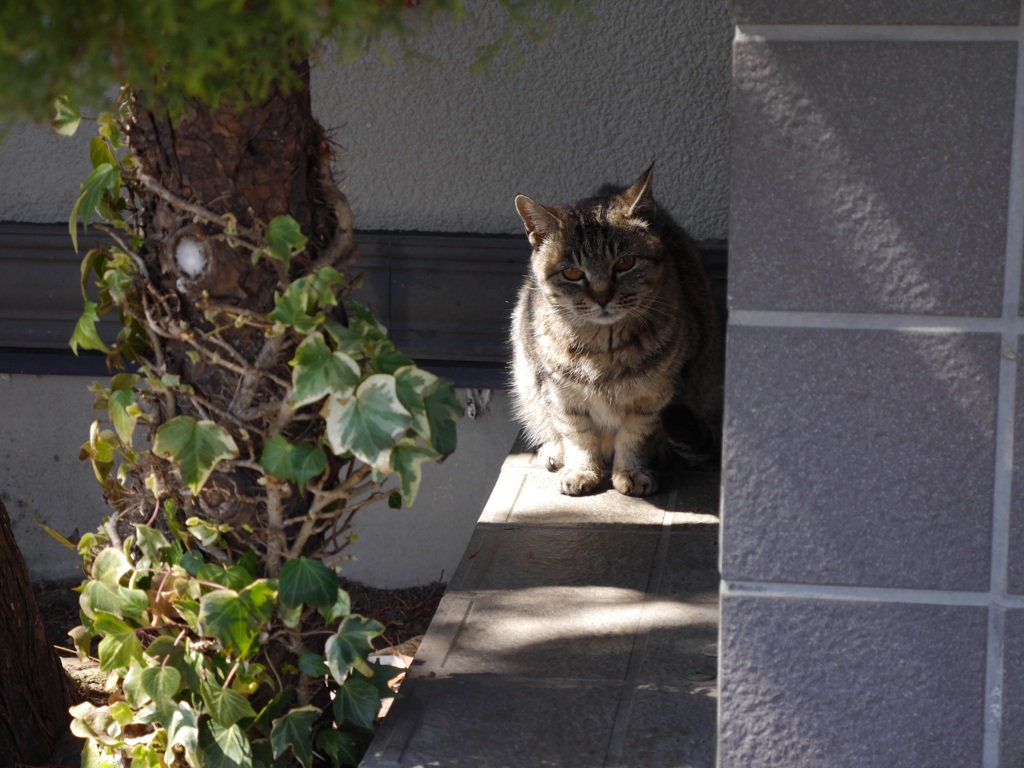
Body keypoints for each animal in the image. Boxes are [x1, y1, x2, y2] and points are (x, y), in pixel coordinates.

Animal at [509, 164, 720, 495]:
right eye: (572, 273)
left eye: (625, 263)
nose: (602, 297)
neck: (600, 352)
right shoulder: (563, 397)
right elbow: (578, 436)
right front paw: (581, 470)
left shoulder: (653, 399)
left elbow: (633, 437)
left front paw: (630, 473)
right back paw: (554, 452)